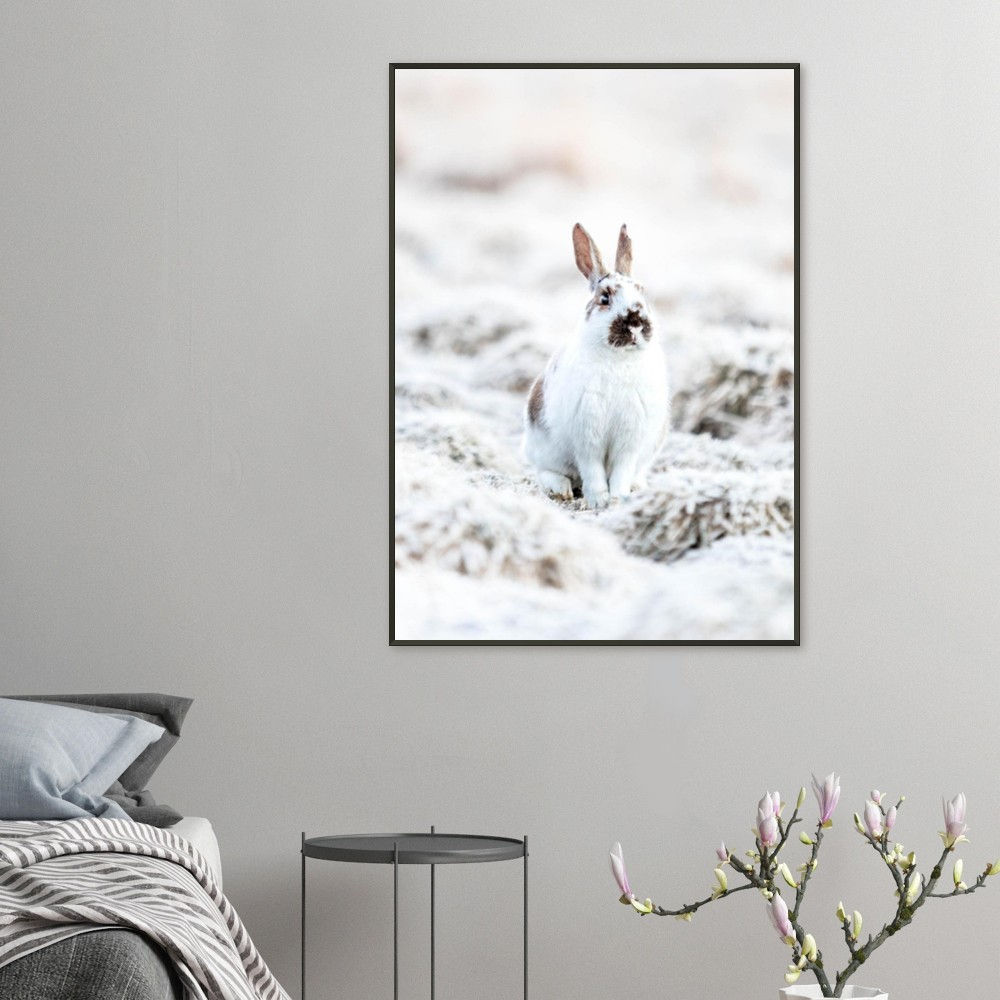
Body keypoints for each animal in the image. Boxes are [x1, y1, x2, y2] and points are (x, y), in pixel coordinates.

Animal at [522, 222, 669, 509]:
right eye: (604, 298)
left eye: (642, 292)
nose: (636, 324)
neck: (618, 357)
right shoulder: (587, 437)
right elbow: (593, 470)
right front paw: (599, 501)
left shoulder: (629, 440)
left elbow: (622, 470)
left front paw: (619, 497)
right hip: (543, 449)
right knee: (547, 472)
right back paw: (561, 490)